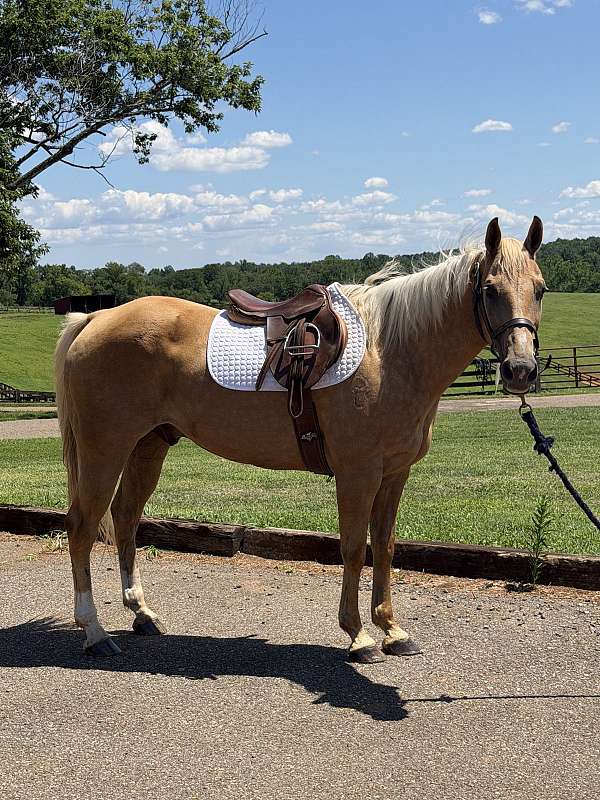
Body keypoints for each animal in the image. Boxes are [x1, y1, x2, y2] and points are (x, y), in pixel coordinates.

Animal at [55, 215, 545, 662]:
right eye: (490, 289)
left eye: (539, 289)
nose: (520, 370)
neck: (390, 353)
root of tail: (96, 316)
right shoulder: (357, 473)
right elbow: (353, 548)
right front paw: (358, 635)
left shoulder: (394, 474)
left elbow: (385, 547)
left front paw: (392, 629)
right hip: (104, 450)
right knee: (82, 527)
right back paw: (95, 632)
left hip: (148, 446)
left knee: (125, 518)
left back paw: (142, 614)